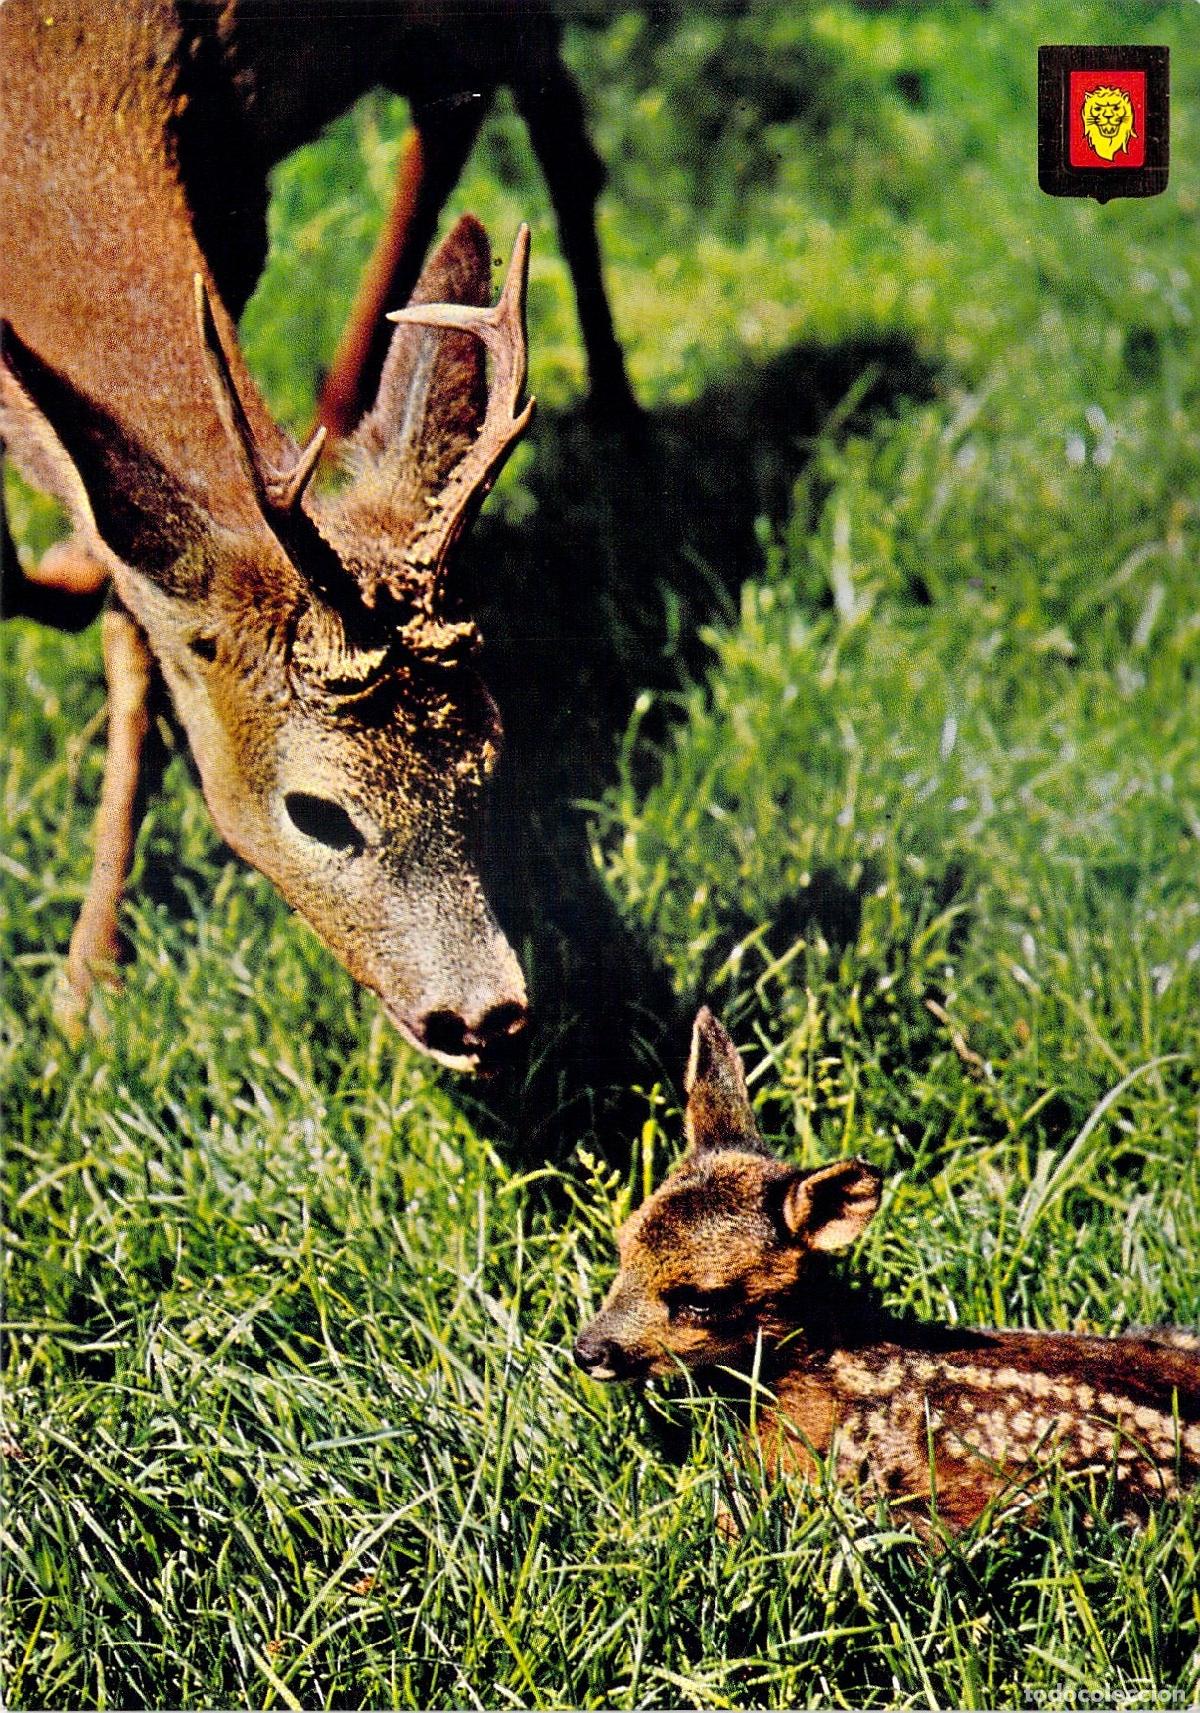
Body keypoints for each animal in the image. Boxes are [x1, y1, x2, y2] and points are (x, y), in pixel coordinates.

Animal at [0, 1, 632, 1073]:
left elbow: (135, 616)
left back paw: (623, 416)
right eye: (316, 813)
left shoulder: (229, 196)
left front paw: (87, 981)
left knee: (538, 100)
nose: (486, 1017)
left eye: (490, 760)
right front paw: (93, 974)